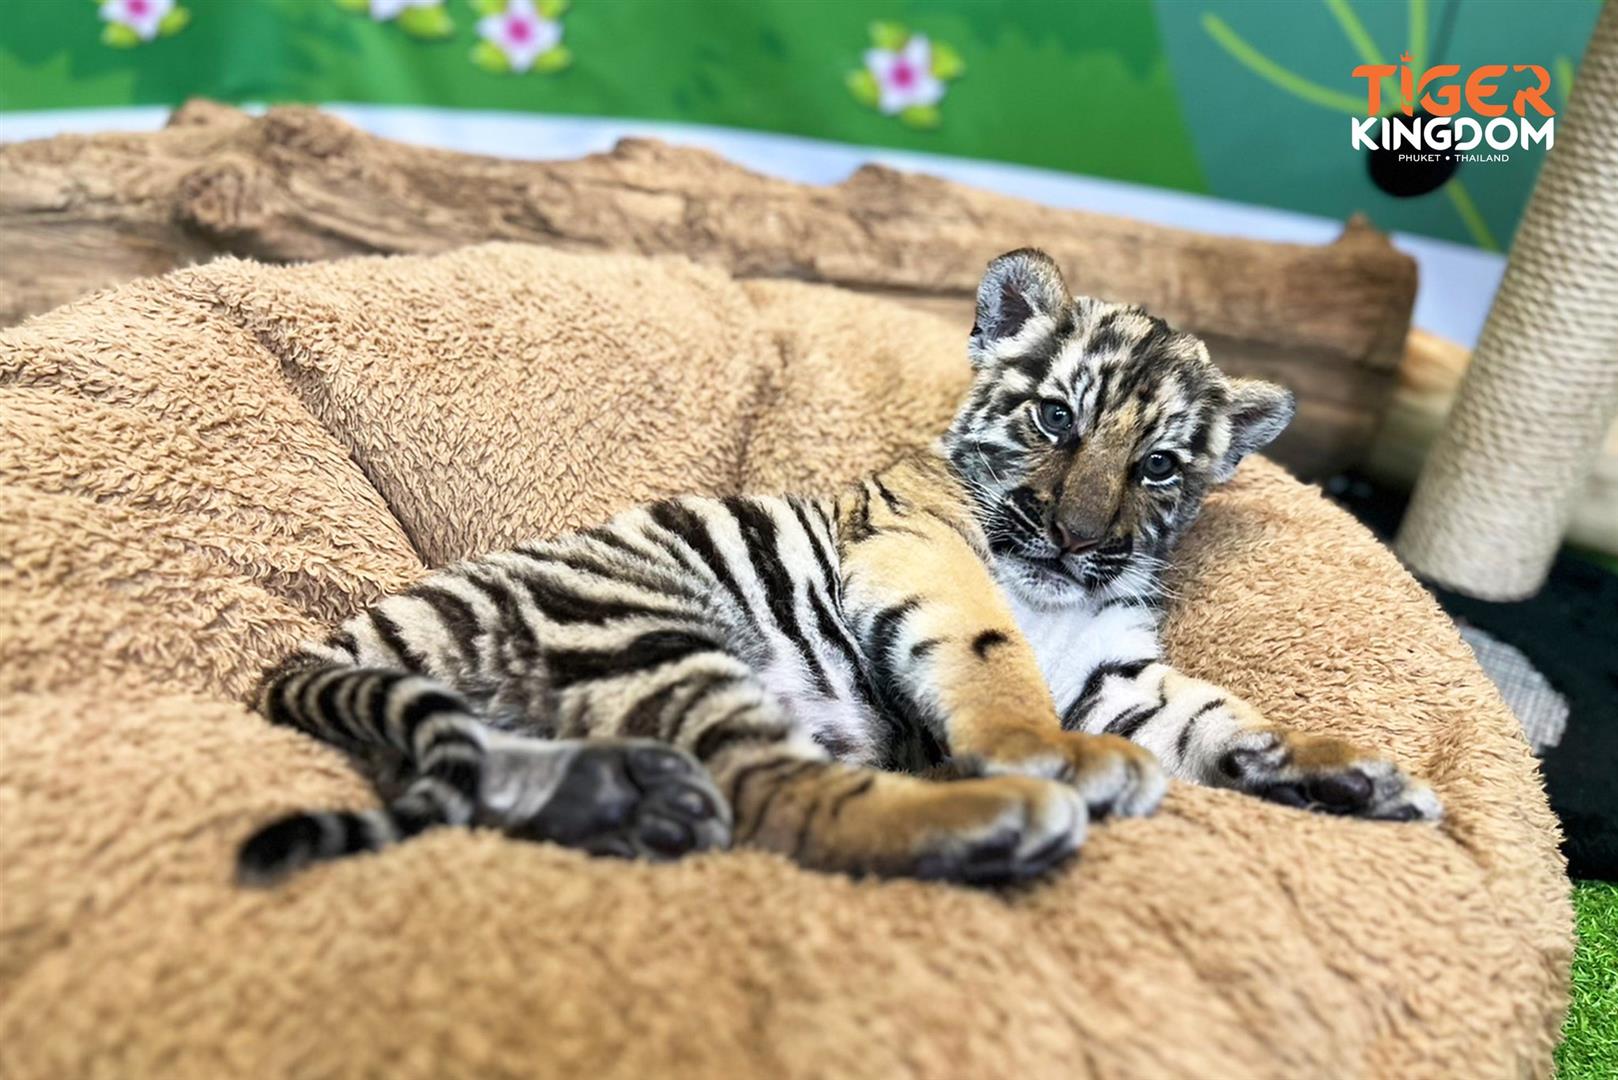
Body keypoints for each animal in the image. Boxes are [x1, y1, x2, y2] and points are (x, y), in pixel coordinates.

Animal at [237, 248, 1441, 887]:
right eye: (1056, 418)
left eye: (1157, 466)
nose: (1074, 537)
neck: (1057, 595)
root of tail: (353, 632)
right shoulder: (926, 553)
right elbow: (996, 665)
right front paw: (1051, 757)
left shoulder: (1116, 672)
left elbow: (1220, 719)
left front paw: (1350, 773)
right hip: (650, 631)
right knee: (781, 802)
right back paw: (1002, 821)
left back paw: (629, 806)